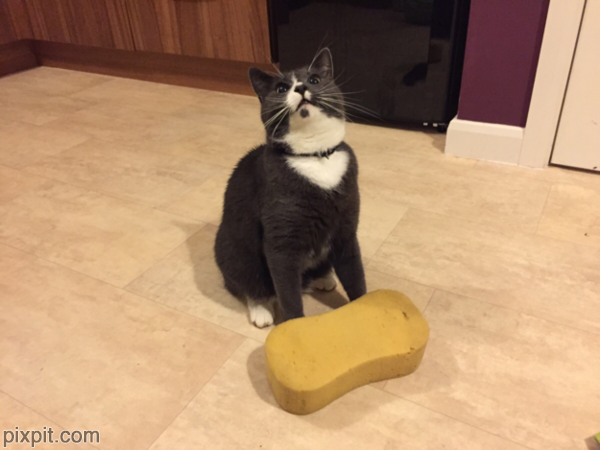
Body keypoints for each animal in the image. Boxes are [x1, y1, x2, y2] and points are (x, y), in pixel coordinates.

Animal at [214, 49, 366, 328]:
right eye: (282, 88)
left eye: (315, 80)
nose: (301, 87)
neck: (316, 157)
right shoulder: (282, 241)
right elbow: (287, 292)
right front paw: (294, 326)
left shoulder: (346, 230)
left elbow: (354, 273)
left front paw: (368, 306)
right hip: (235, 252)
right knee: (249, 285)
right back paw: (261, 311)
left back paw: (324, 278)